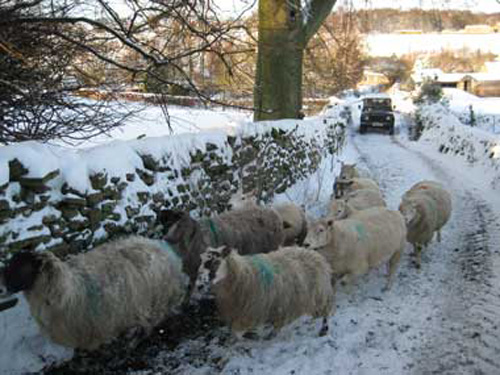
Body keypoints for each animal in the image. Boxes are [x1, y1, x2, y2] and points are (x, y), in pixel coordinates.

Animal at [0, 236, 188, 352]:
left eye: (23, 267)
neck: (65, 292)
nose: (3, 284)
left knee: (154, 319)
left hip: (158, 298)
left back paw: (135, 337)